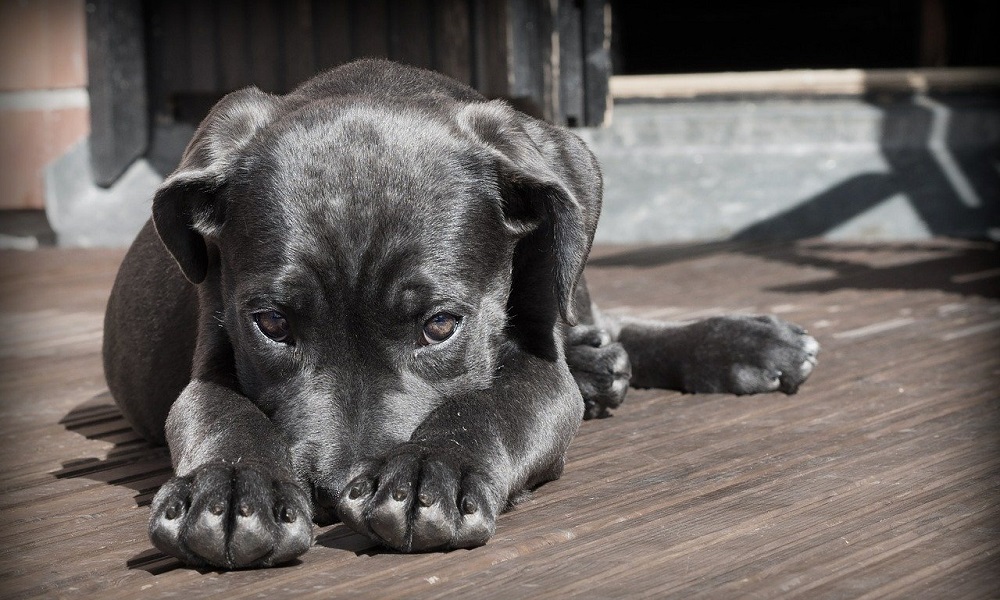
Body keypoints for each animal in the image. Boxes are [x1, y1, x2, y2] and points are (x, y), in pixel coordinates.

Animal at [103, 59, 820, 568]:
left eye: (441, 325)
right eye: (272, 325)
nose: (333, 493)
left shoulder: (539, 367)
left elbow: (491, 404)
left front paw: (430, 470)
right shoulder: (211, 355)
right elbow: (222, 413)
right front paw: (230, 489)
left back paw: (739, 344)